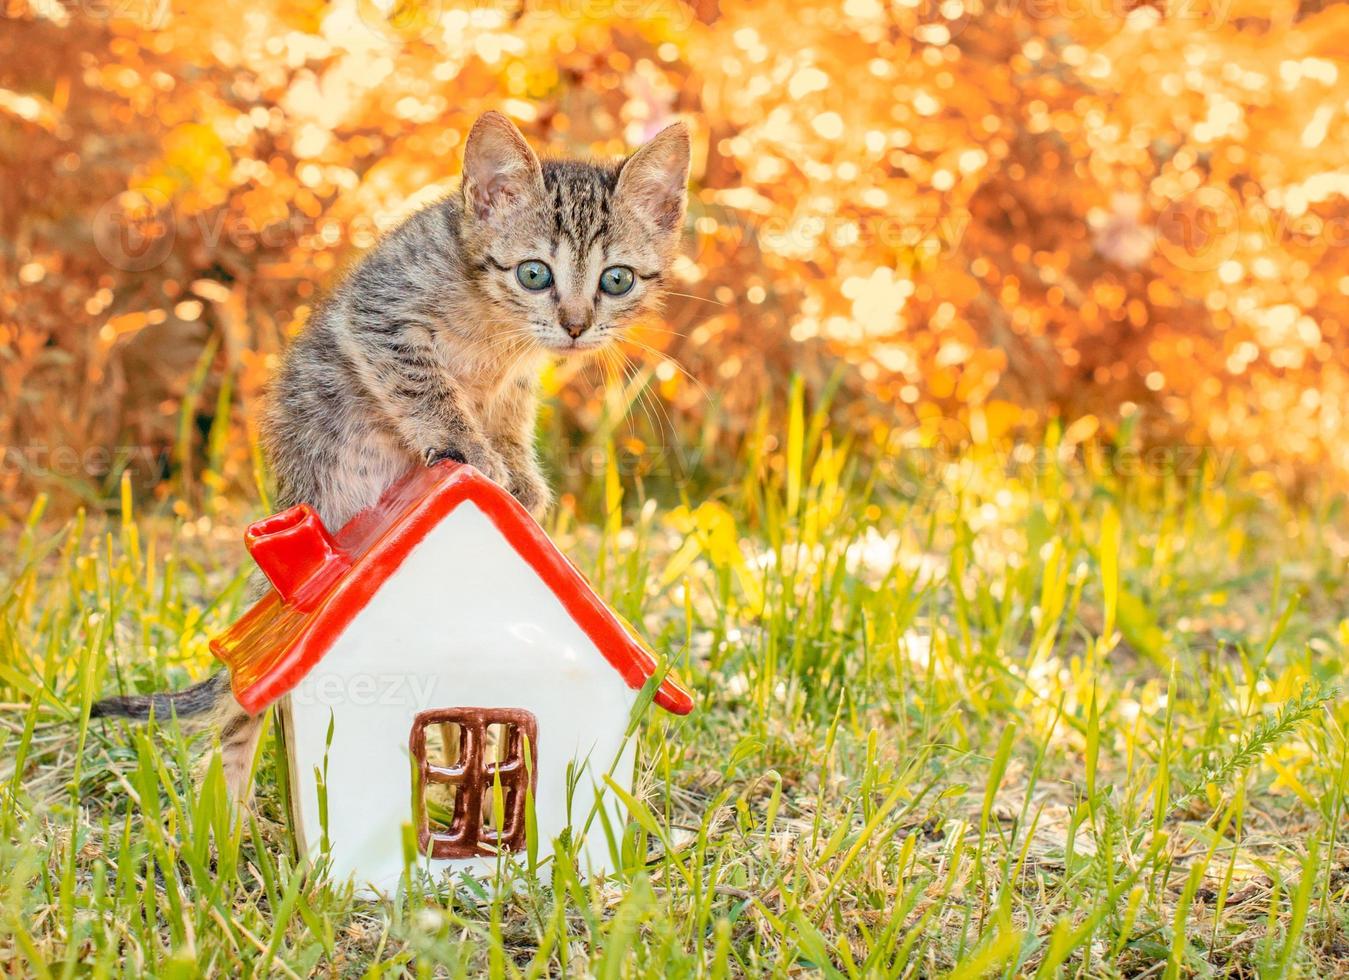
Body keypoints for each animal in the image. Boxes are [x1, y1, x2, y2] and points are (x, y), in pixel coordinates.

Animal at [89, 111, 690, 804]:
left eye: (616, 279)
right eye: (534, 273)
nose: (574, 324)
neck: (496, 326)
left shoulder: (513, 386)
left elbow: (510, 421)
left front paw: (521, 477)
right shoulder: (382, 318)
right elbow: (425, 387)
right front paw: (477, 456)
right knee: (238, 717)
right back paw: (225, 817)